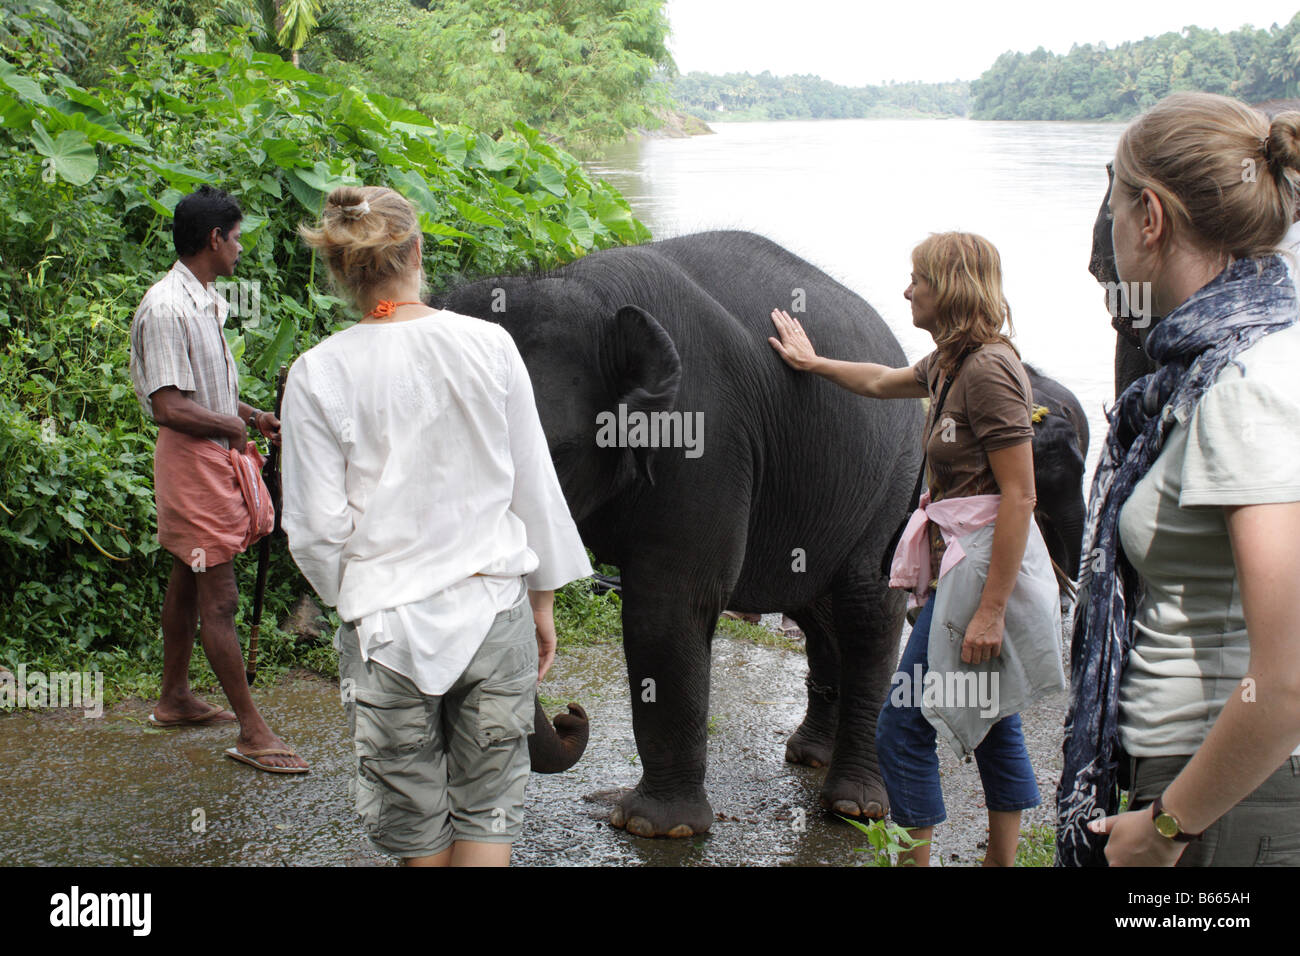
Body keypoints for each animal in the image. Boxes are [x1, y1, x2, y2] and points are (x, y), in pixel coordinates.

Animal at [431, 227, 920, 832]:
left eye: (556, 457)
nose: (573, 714)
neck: (586, 290)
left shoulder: (705, 437)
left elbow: (669, 605)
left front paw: (655, 827)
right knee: (817, 607)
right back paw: (809, 756)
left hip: (899, 472)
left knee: (867, 607)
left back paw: (856, 807)